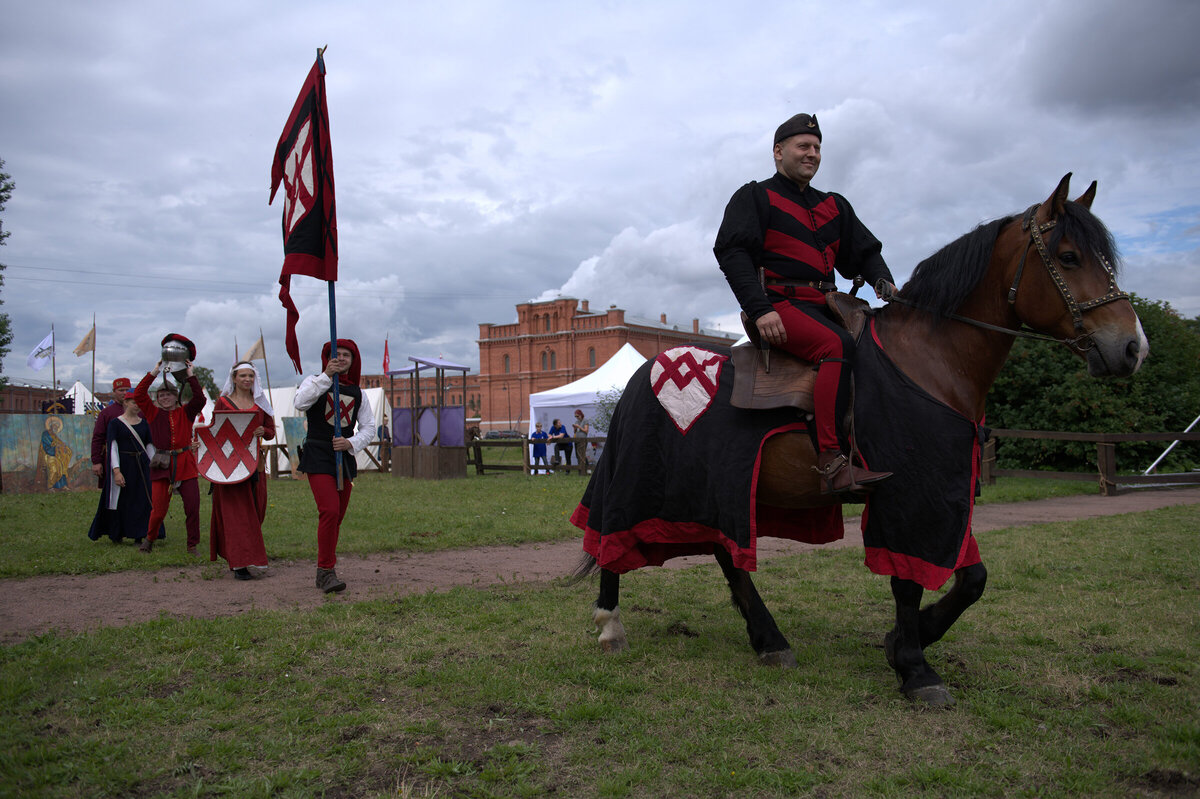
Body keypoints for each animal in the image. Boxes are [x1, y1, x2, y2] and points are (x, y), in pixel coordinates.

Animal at [576, 173, 1147, 705]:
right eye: (1069, 257)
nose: (1132, 348)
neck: (930, 360)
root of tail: (643, 374)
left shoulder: (949, 492)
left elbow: (972, 579)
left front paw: (905, 641)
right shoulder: (911, 494)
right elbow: (907, 580)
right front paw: (916, 667)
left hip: (721, 490)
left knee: (727, 554)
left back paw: (769, 640)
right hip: (649, 481)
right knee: (613, 533)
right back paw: (610, 624)